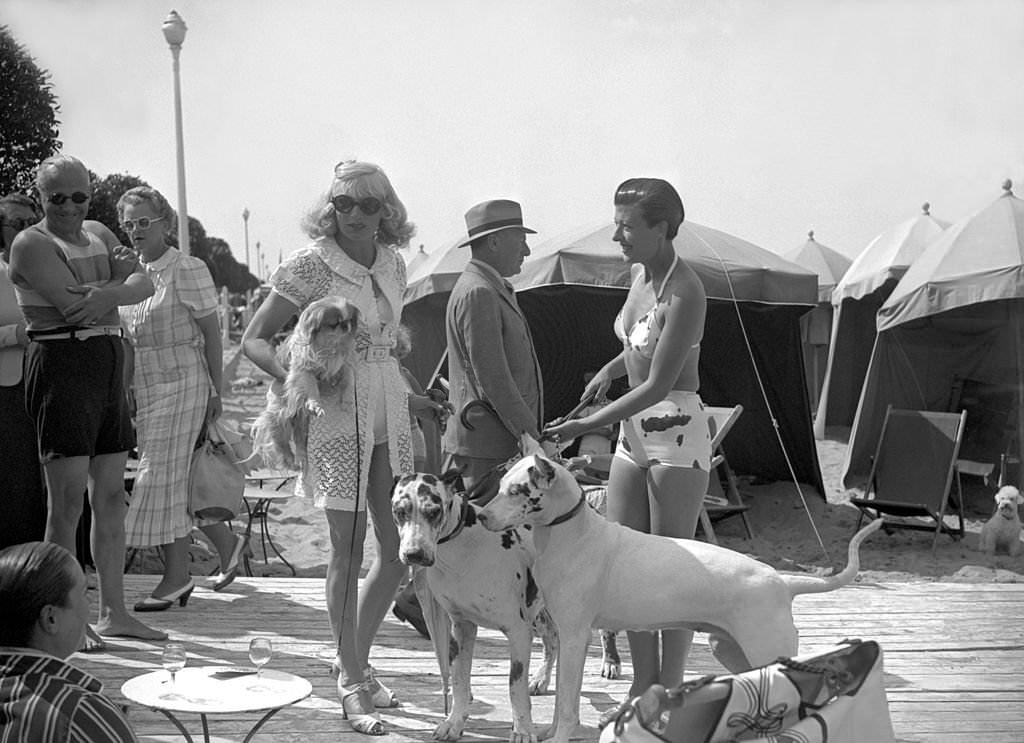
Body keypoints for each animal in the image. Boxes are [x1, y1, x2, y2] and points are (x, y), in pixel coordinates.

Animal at [248, 296, 358, 470]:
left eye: (349, 320)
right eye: (335, 324)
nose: (346, 326)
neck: (329, 345)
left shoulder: (345, 364)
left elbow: (348, 381)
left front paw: (347, 402)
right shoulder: (304, 370)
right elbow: (311, 388)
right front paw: (315, 404)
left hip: (302, 422)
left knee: (299, 439)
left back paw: (300, 458)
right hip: (279, 414)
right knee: (281, 441)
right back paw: (291, 459)